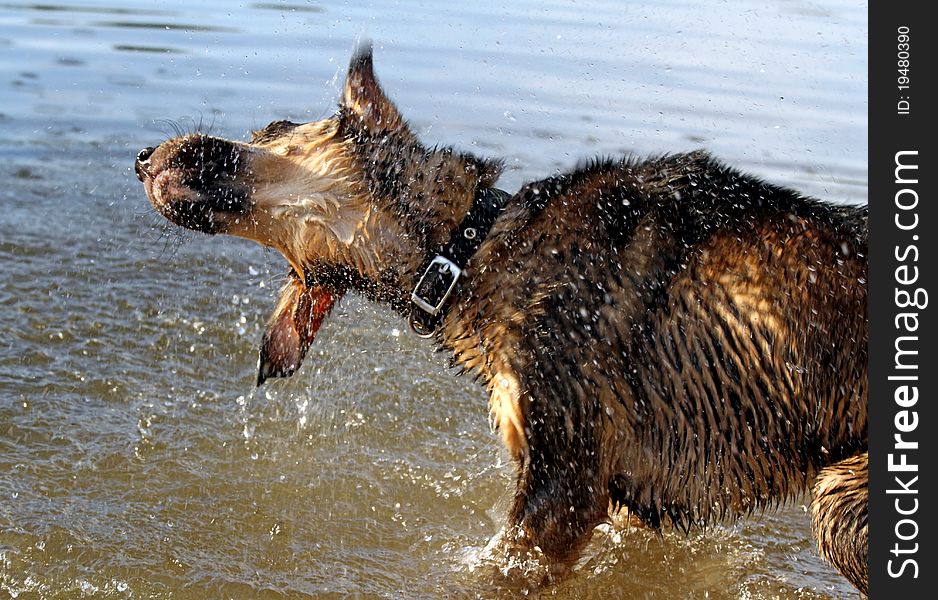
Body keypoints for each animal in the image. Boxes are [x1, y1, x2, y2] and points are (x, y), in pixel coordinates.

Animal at [135, 44, 868, 592]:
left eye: (271, 129)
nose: (141, 157)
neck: (468, 249)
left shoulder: (560, 489)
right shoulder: (615, 501)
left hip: (839, 503)